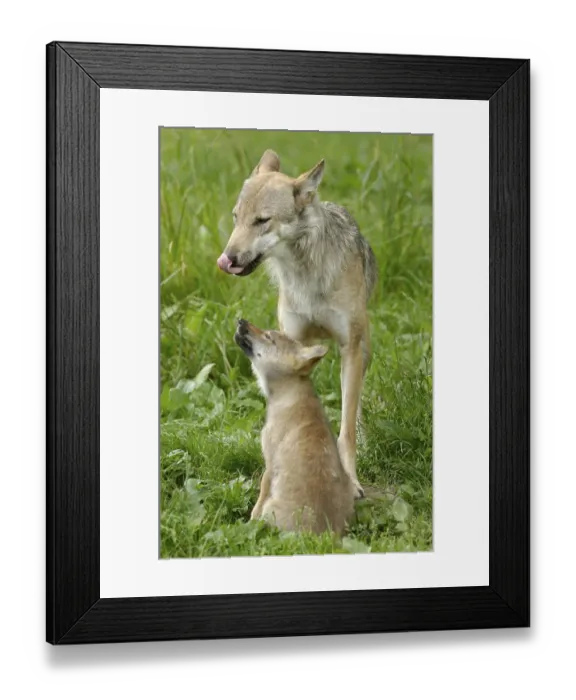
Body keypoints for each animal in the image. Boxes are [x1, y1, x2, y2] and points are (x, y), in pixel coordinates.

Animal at [218, 150, 377, 497]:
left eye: (261, 220)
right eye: (236, 217)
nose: (226, 259)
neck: (306, 276)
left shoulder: (349, 348)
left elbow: (346, 430)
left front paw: (351, 481)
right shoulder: (294, 340)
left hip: (362, 351)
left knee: (355, 409)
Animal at [234, 319, 356, 534]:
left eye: (268, 336)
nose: (242, 320)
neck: (288, 393)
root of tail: (328, 535)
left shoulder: (269, 465)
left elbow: (259, 500)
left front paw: (249, 524)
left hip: (271, 508)